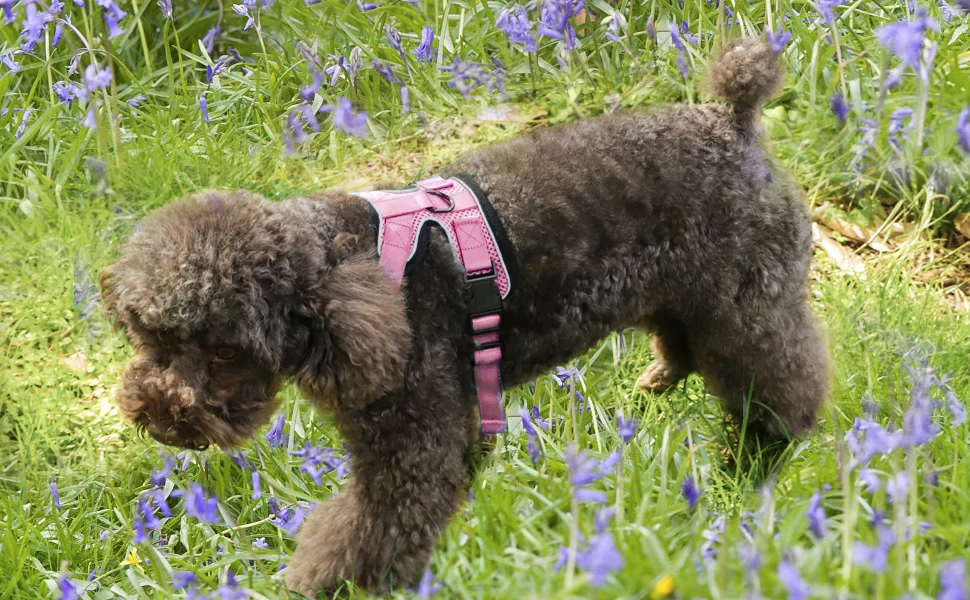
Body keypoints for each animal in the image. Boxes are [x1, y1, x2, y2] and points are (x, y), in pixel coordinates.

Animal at [96, 38, 824, 596]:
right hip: (685, 295)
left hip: (747, 306)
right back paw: (664, 381)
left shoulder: (411, 449)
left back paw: (755, 461)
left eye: (223, 352)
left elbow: (366, 534)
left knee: (782, 388)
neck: (352, 277)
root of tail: (731, 120)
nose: (158, 416)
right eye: (152, 341)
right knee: (686, 343)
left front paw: (325, 586)